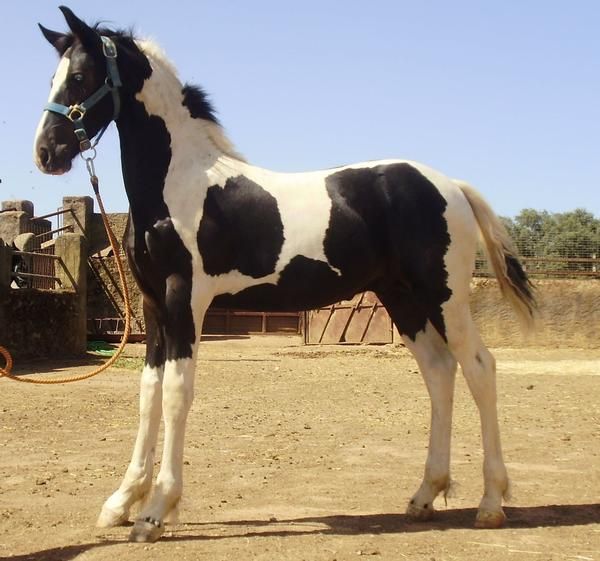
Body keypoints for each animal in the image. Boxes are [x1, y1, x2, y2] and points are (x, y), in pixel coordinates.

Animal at [35, 6, 536, 544]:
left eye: (80, 77)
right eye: (53, 76)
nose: (45, 154)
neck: (179, 186)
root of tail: (453, 186)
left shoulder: (184, 300)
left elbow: (175, 393)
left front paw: (155, 511)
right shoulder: (153, 305)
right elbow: (149, 394)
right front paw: (121, 502)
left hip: (444, 297)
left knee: (479, 368)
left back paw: (491, 503)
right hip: (403, 299)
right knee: (440, 373)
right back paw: (425, 496)